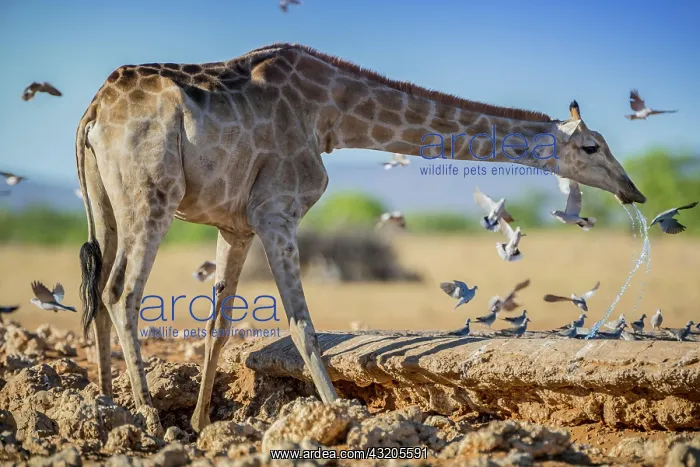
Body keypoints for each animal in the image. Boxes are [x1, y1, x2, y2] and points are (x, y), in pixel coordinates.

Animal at [75, 42, 646, 433]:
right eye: (592, 147)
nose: (633, 190)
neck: (331, 114)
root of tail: (93, 113)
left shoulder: (235, 224)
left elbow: (220, 325)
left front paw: (199, 425)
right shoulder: (275, 211)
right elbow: (302, 324)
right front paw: (339, 414)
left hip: (102, 202)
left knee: (97, 291)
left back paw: (105, 410)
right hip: (152, 195)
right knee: (121, 292)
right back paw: (148, 418)